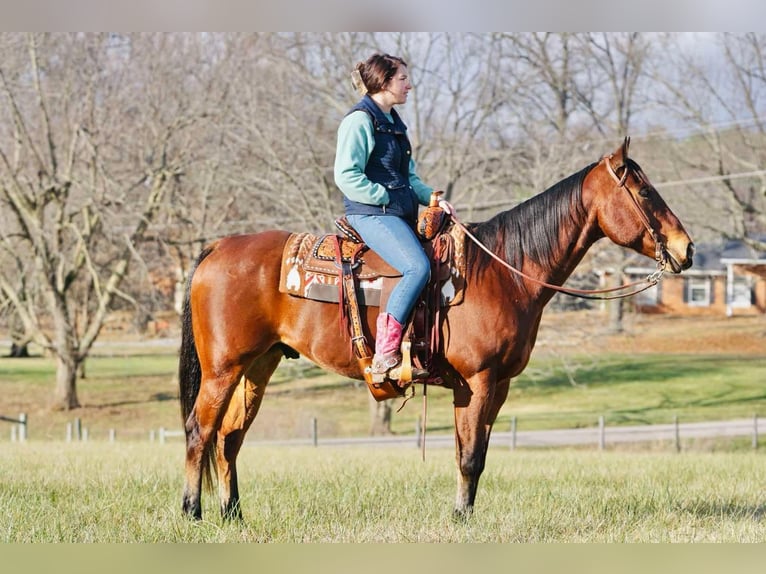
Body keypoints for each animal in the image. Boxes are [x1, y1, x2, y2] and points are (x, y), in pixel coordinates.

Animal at [178, 138, 694, 521]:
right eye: (645, 193)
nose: (685, 248)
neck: (502, 272)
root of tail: (217, 248)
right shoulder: (478, 381)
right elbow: (469, 455)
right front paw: (461, 519)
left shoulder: (496, 386)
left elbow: (475, 452)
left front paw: (464, 514)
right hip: (223, 369)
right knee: (200, 430)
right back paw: (192, 511)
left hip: (258, 366)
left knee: (229, 438)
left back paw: (233, 514)